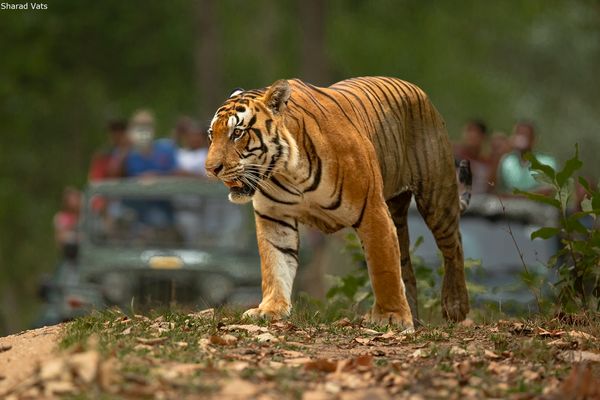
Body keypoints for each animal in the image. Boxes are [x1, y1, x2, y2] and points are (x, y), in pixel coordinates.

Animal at [206, 76, 474, 328]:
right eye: (212, 134)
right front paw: (270, 309)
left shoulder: (373, 211)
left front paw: (391, 317)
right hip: (397, 211)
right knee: (406, 264)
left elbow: (383, 268)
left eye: (237, 133)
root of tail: (417, 90)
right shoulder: (274, 217)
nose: (211, 169)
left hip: (436, 196)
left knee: (454, 245)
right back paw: (415, 318)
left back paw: (455, 306)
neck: (287, 171)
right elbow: (275, 263)